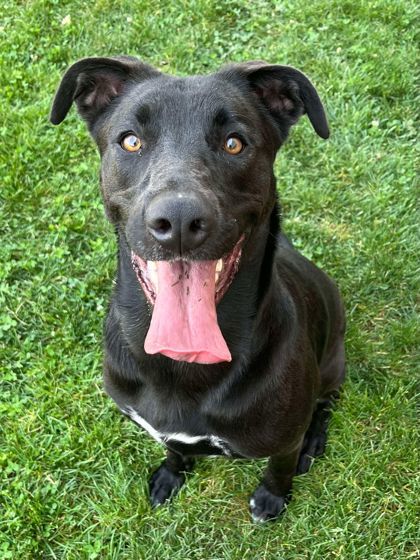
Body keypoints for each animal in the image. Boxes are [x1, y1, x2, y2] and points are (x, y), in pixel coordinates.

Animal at [50, 57, 344, 520]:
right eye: (130, 141)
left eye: (234, 144)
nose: (179, 220)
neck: (183, 368)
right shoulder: (163, 429)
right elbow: (175, 448)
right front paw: (171, 474)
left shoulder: (283, 440)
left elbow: (279, 467)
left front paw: (272, 498)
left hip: (333, 361)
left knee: (327, 400)